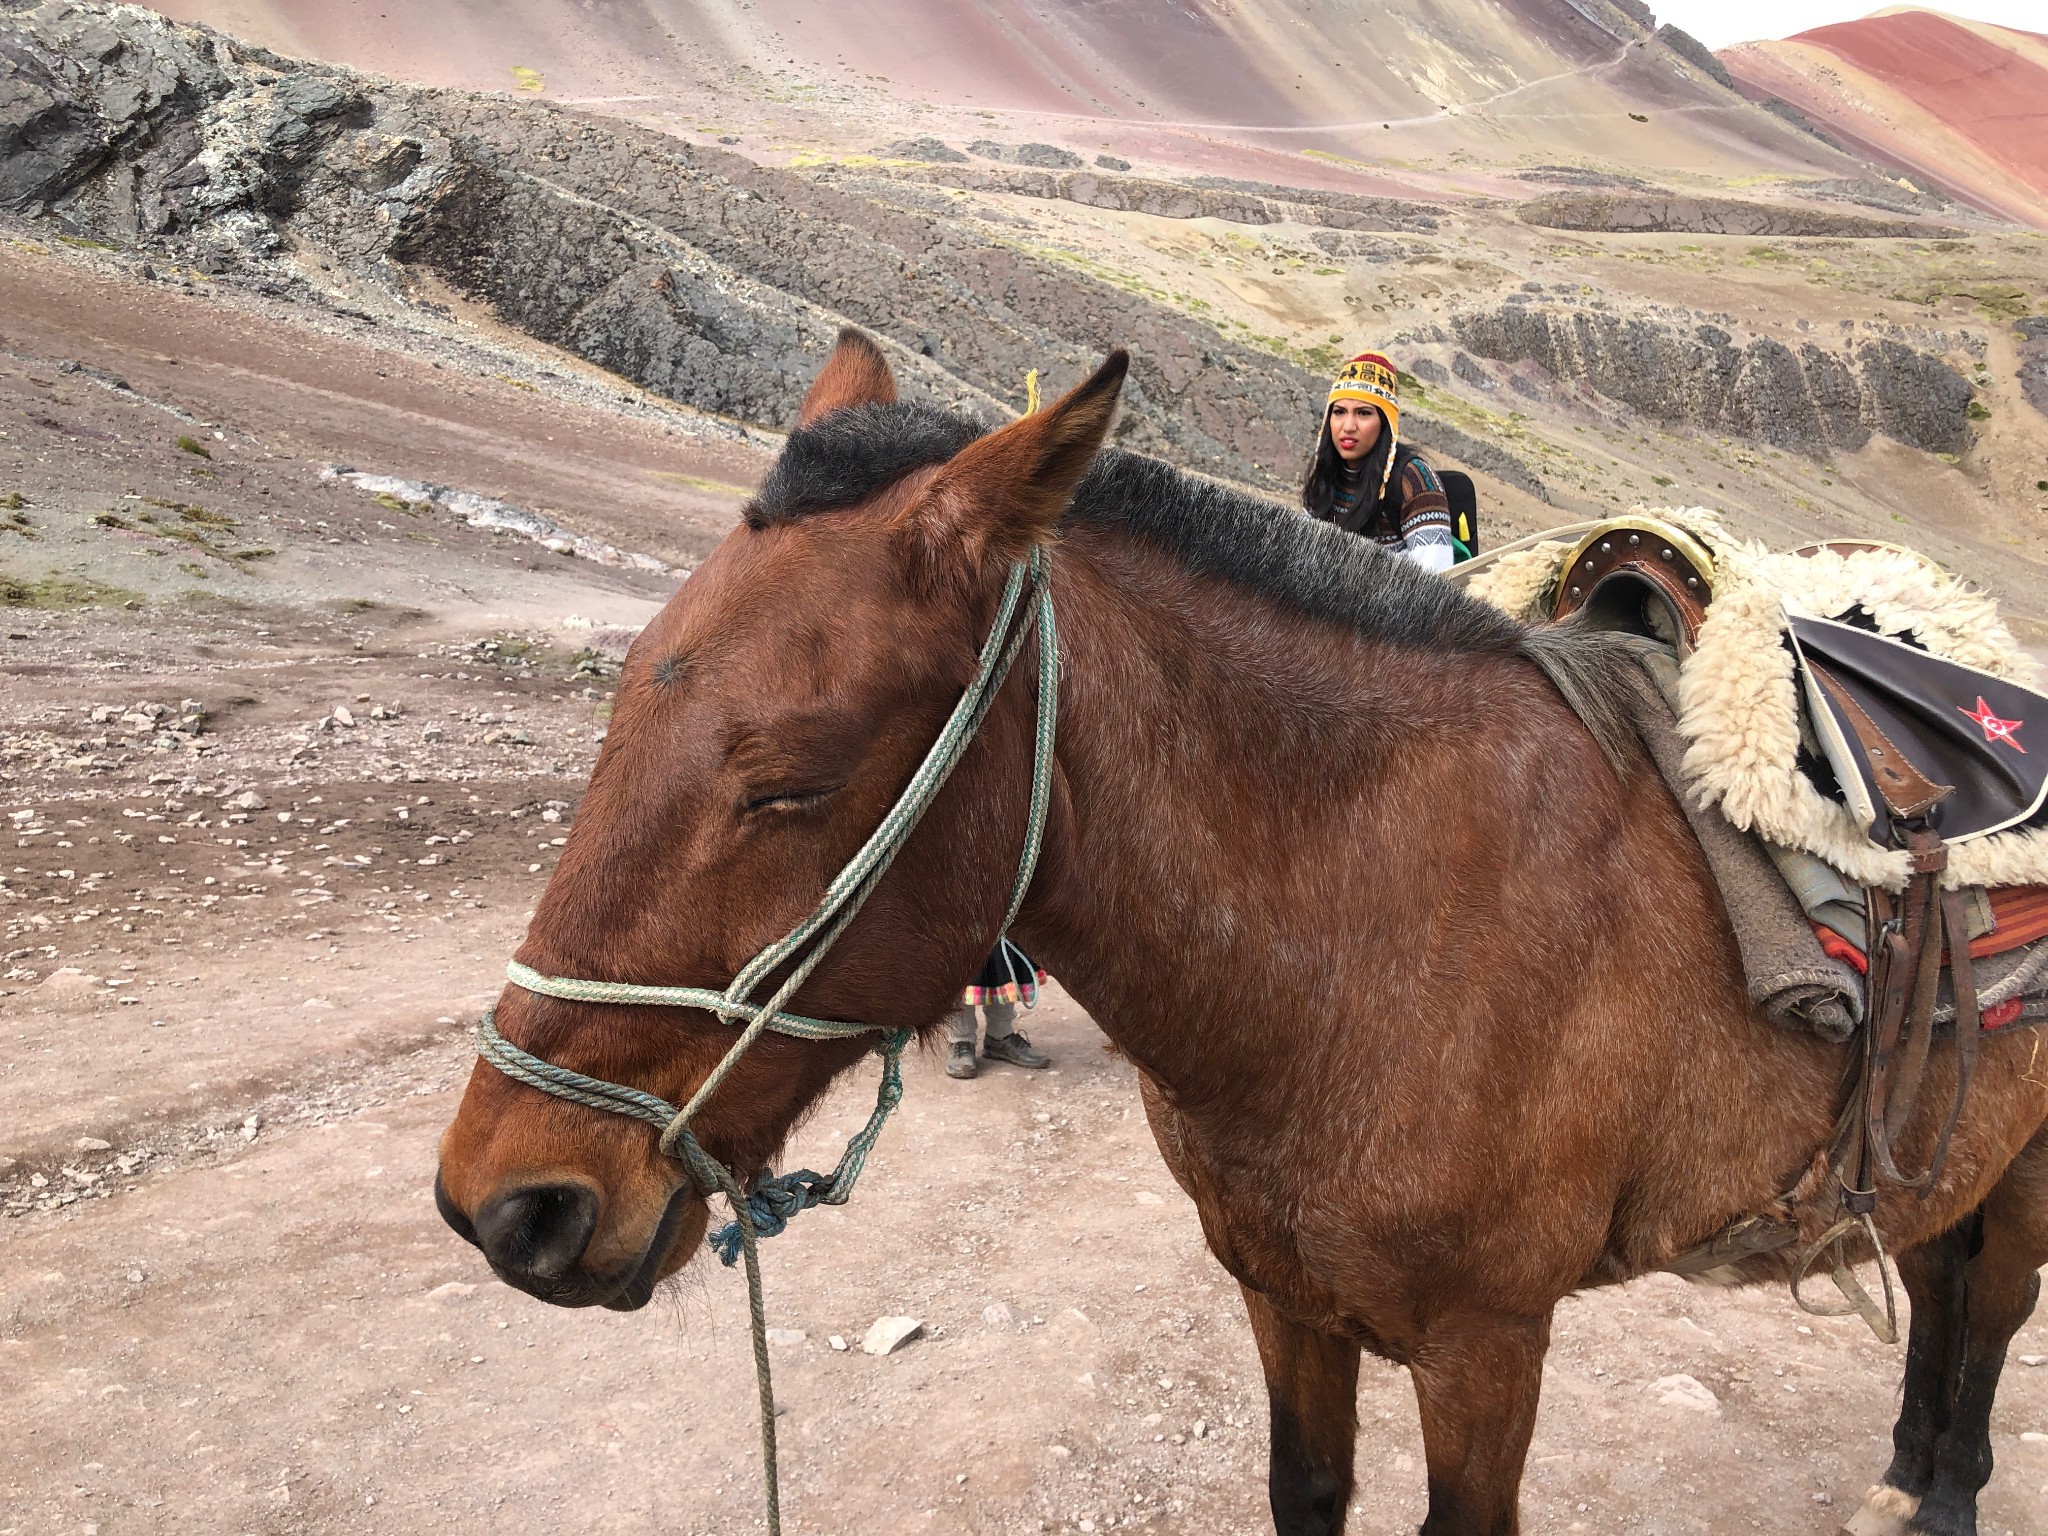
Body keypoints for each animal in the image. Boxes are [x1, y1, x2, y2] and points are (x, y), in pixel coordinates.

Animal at [436, 335, 2048, 1536]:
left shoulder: (1487, 1344)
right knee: (1940, 1277)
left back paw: (1942, 1491)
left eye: (789, 780)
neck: (1372, 926)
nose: (511, 1203)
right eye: (623, 699)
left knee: (1984, 1316)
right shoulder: (1282, 1299)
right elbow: (1305, 1491)